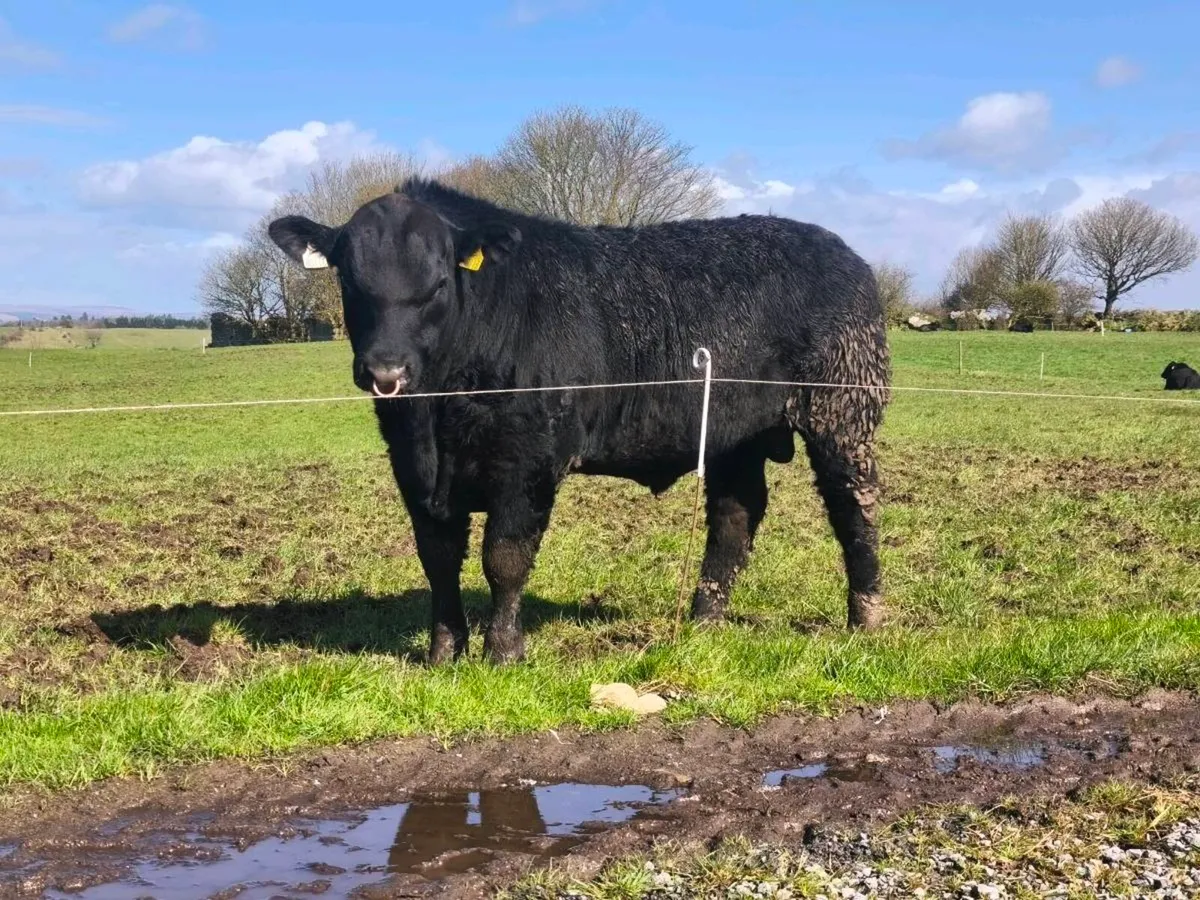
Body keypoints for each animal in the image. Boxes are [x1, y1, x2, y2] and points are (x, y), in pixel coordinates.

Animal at [268, 178, 892, 665]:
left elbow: (505, 559)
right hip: (734, 432)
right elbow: (438, 559)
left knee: (854, 508)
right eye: (350, 280)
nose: (386, 370)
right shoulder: (412, 467)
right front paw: (444, 652)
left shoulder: (528, 459)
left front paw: (503, 653)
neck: (438, 413)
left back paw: (866, 619)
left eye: (439, 282)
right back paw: (703, 621)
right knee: (735, 516)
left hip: (842, 410)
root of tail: (844, 253)